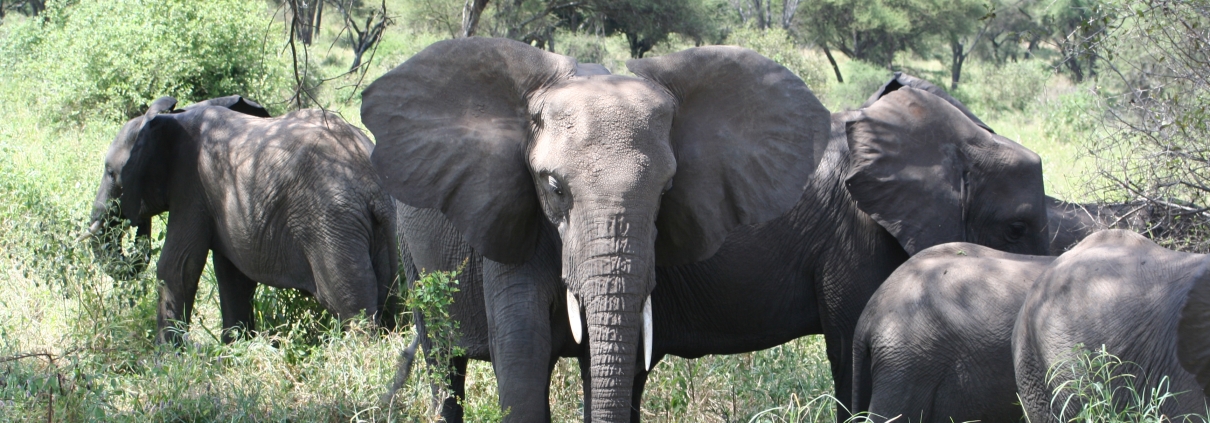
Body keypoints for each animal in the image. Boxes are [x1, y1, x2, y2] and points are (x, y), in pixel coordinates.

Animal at [86, 96, 398, 344]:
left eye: (111, 173)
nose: (135, 221)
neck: (174, 116)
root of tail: (371, 185)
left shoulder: (190, 188)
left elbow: (177, 267)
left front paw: (167, 359)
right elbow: (233, 275)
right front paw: (235, 348)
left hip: (330, 225)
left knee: (349, 305)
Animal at [362, 38, 829, 421]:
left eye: (667, 190)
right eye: (554, 187)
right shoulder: (512, 220)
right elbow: (522, 355)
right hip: (413, 259)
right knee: (442, 362)